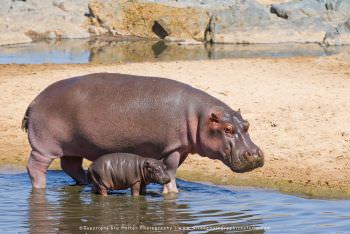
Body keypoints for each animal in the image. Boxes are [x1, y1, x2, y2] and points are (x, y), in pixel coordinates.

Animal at [22, 73, 262, 192]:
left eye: (247, 124)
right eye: (227, 129)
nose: (256, 155)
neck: (200, 117)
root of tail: (34, 100)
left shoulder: (182, 148)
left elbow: (174, 170)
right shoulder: (173, 147)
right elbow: (171, 169)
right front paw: (172, 192)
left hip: (75, 145)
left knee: (70, 165)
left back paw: (88, 184)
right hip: (44, 147)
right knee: (35, 167)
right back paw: (40, 188)